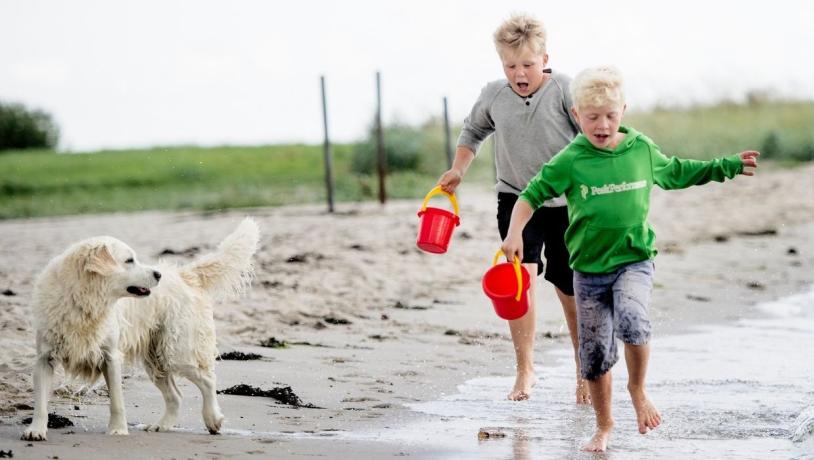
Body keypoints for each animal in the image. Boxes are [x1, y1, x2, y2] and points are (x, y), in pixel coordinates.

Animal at [22, 217, 260, 440]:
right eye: (129, 260)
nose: (158, 275)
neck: (84, 301)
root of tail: (184, 275)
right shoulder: (44, 359)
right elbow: (40, 402)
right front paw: (36, 430)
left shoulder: (110, 356)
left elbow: (117, 401)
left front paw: (118, 429)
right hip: (156, 359)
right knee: (176, 396)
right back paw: (161, 426)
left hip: (178, 351)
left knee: (208, 381)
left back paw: (213, 419)